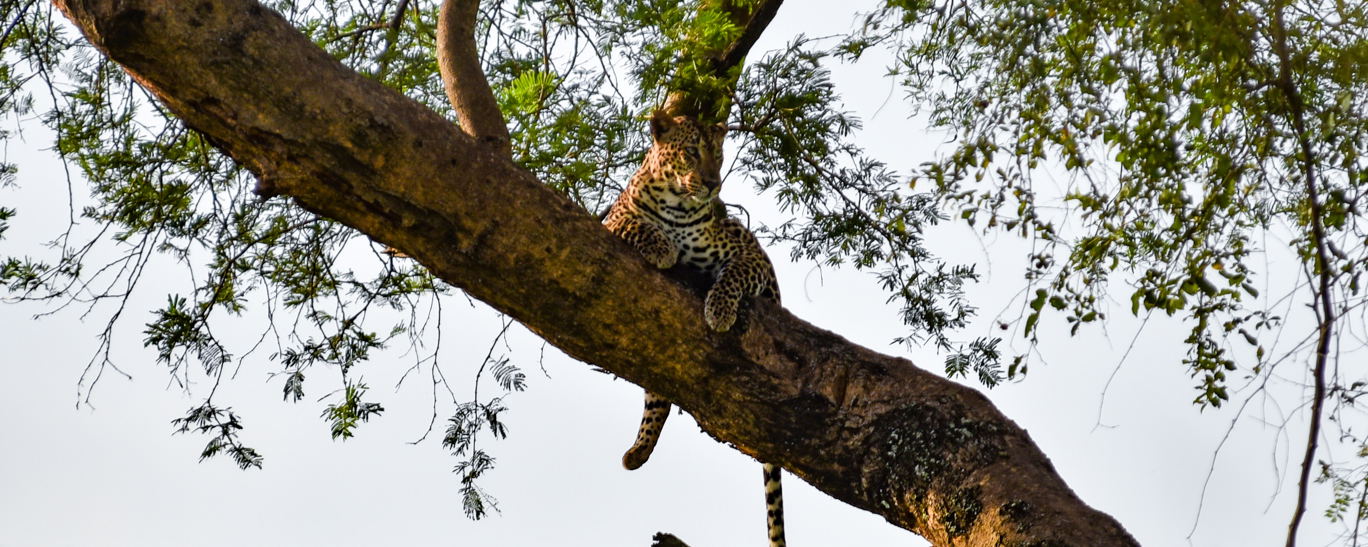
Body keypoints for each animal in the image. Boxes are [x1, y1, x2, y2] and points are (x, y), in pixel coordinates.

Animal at [603, 110, 786, 547]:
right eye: (690, 152)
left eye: (718, 155)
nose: (712, 183)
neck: (678, 205)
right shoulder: (615, 218)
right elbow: (641, 226)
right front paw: (662, 247)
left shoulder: (751, 255)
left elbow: (732, 275)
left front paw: (718, 311)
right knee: (658, 396)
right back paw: (638, 452)